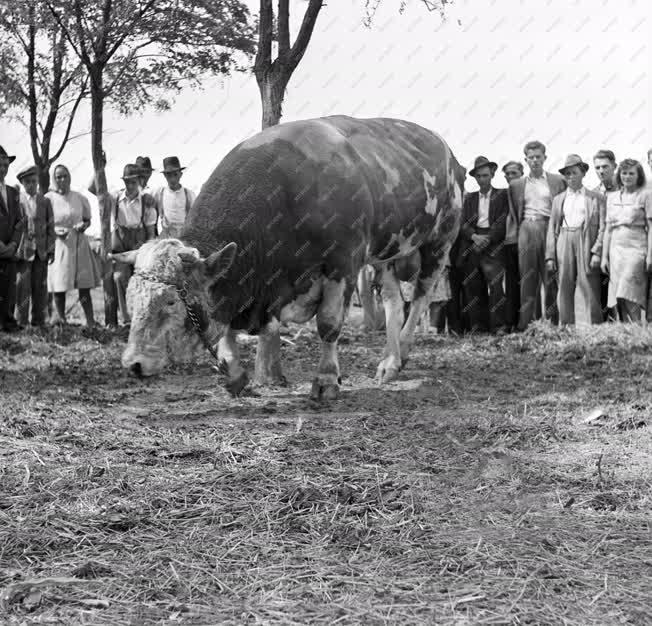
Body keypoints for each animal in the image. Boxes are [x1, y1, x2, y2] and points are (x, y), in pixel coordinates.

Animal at [114, 116, 466, 398]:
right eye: (131, 297)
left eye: (171, 301)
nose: (133, 363)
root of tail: (446, 150)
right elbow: (226, 324)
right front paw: (234, 373)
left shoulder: (343, 262)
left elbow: (328, 324)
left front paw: (327, 380)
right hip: (388, 251)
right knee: (394, 301)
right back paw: (389, 363)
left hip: (440, 239)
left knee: (420, 296)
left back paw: (400, 354)